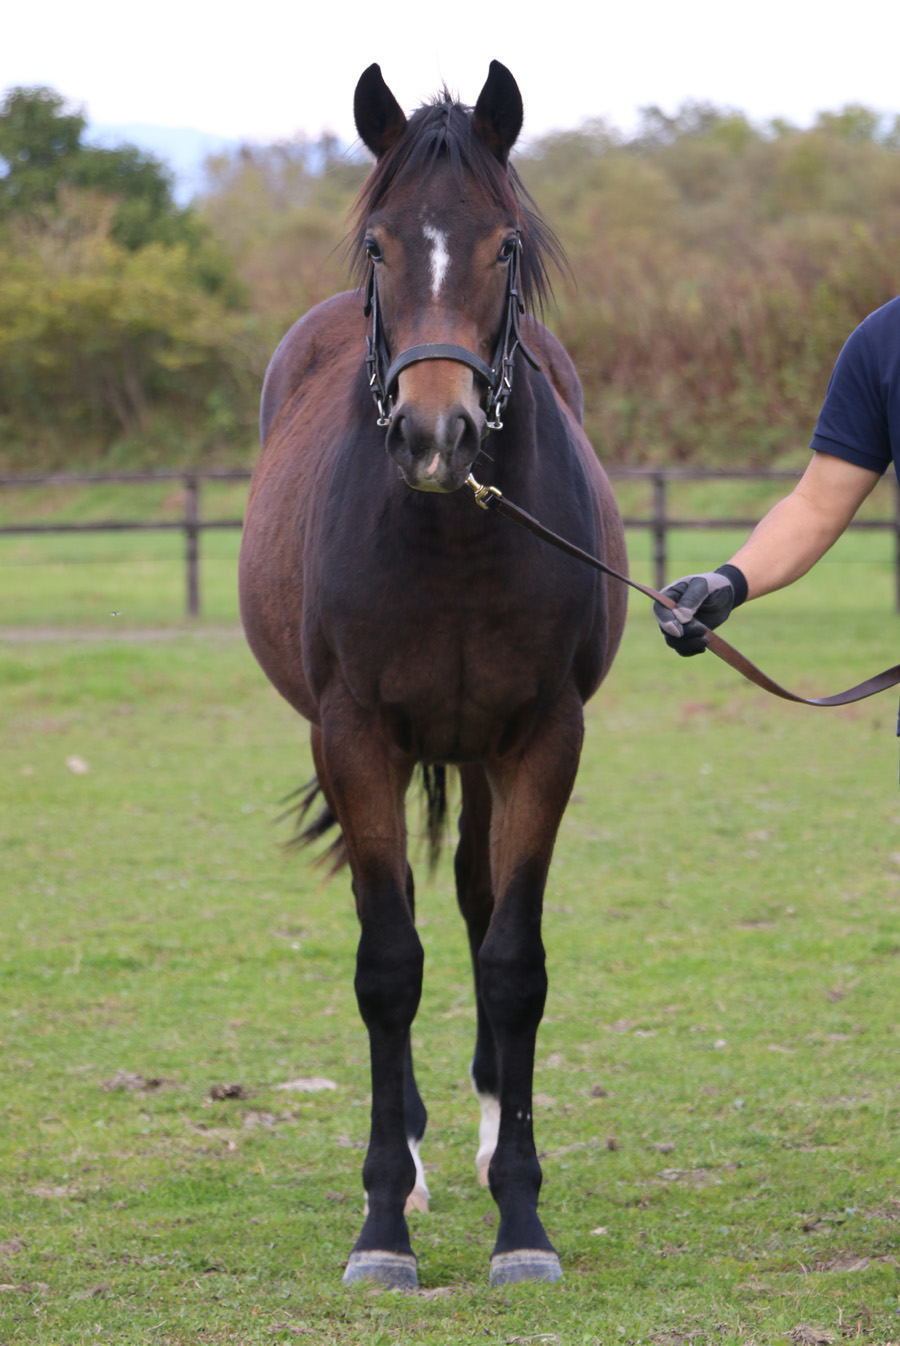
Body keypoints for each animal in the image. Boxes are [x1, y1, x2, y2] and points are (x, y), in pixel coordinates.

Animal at [238, 60, 628, 1290]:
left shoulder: (543, 739)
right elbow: (386, 965)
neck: (456, 537)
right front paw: (381, 1227)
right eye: (378, 244)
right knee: (407, 909)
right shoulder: (355, 737)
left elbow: (512, 960)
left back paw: (491, 1132)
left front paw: (523, 1218)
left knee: (468, 896)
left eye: (505, 246)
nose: (434, 435)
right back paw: (409, 1155)